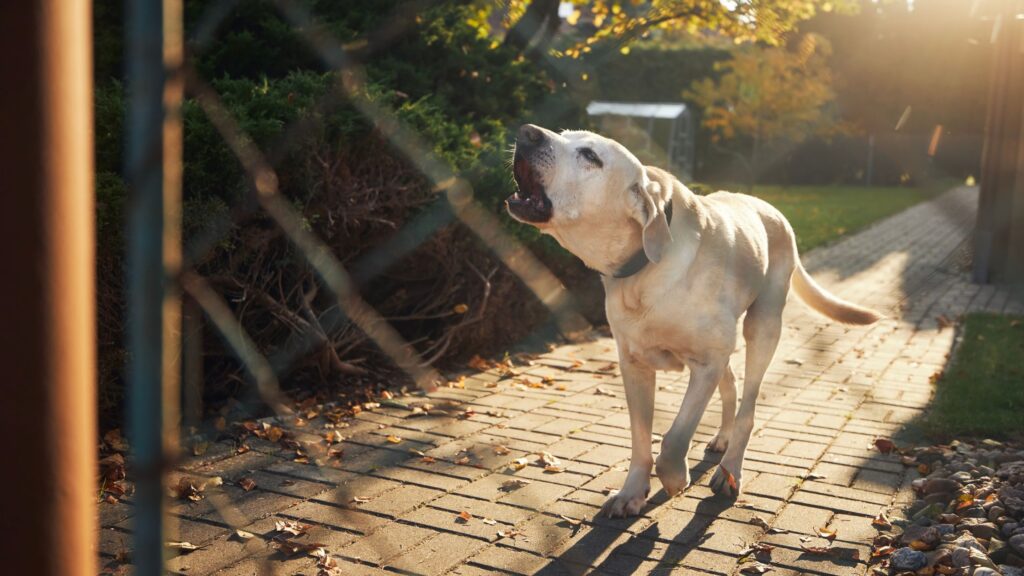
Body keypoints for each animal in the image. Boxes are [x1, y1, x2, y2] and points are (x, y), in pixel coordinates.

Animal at [503, 124, 880, 516]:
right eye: (564, 135)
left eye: (591, 156)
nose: (528, 132)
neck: (645, 270)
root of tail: (772, 210)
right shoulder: (635, 366)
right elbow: (641, 437)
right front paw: (632, 492)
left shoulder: (705, 363)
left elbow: (674, 438)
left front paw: (673, 479)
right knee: (731, 388)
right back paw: (723, 440)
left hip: (762, 327)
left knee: (747, 407)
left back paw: (730, 470)